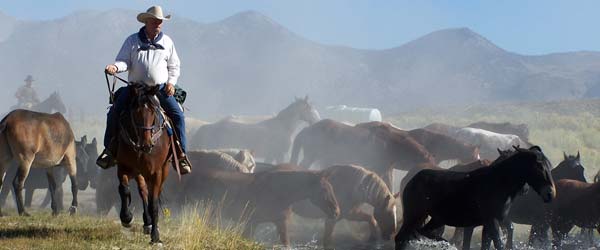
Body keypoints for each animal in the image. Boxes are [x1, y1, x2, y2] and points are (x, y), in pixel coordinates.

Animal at [113, 84, 172, 244]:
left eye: (153, 112)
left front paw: (155, 236)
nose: (147, 145)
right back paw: (147, 222)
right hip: (139, 172)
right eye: (136, 112)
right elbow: (124, 189)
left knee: (152, 194)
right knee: (143, 191)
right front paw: (126, 218)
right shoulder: (123, 167)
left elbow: (154, 204)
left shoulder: (156, 173)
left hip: (163, 170)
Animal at [176, 164, 340, 246]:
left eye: (332, 188)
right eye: (324, 189)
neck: (282, 193)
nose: (337, 211)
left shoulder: (277, 222)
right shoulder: (253, 222)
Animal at [394, 146, 556, 250]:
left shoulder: (491, 221)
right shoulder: (491, 220)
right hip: (413, 215)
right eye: (538, 166)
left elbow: (488, 244)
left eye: (549, 165)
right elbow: (498, 244)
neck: (499, 183)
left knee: (422, 232)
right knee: (401, 238)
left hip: (436, 218)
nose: (550, 193)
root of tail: (410, 180)